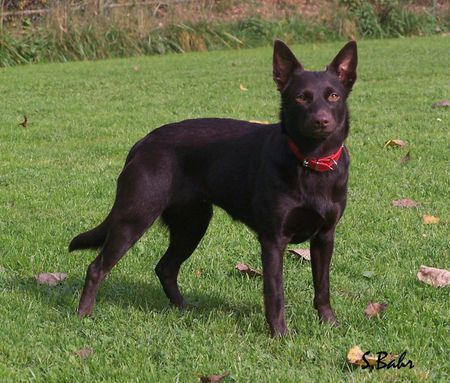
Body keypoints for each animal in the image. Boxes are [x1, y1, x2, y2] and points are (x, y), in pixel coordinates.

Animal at [70, 40, 356, 338]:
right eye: (301, 98)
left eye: (333, 96)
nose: (321, 121)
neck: (311, 162)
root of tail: (143, 143)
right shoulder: (274, 240)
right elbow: (275, 292)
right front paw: (279, 334)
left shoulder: (325, 237)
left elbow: (323, 287)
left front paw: (330, 324)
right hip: (134, 218)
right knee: (97, 268)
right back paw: (83, 315)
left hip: (192, 224)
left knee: (165, 268)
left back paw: (184, 308)